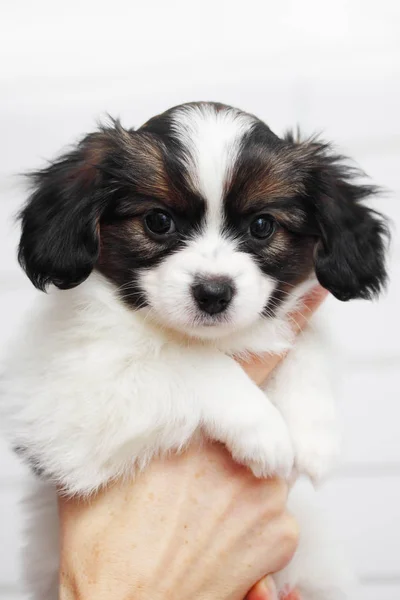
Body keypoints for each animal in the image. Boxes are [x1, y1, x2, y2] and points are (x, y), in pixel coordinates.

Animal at [0, 103, 388, 600]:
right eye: (158, 221)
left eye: (262, 226)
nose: (213, 293)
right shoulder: (72, 407)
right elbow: (188, 359)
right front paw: (266, 430)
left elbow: (305, 340)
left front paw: (313, 432)